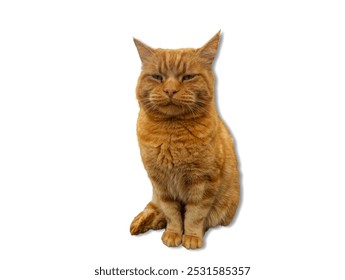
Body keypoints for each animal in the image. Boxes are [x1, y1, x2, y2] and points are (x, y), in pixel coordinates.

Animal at [129, 32, 239, 249]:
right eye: (157, 77)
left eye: (188, 77)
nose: (170, 90)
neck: (172, 132)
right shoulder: (160, 182)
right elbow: (171, 213)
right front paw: (173, 233)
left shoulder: (203, 181)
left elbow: (195, 214)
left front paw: (191, 236)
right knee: (153, 208)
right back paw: (141, 223)